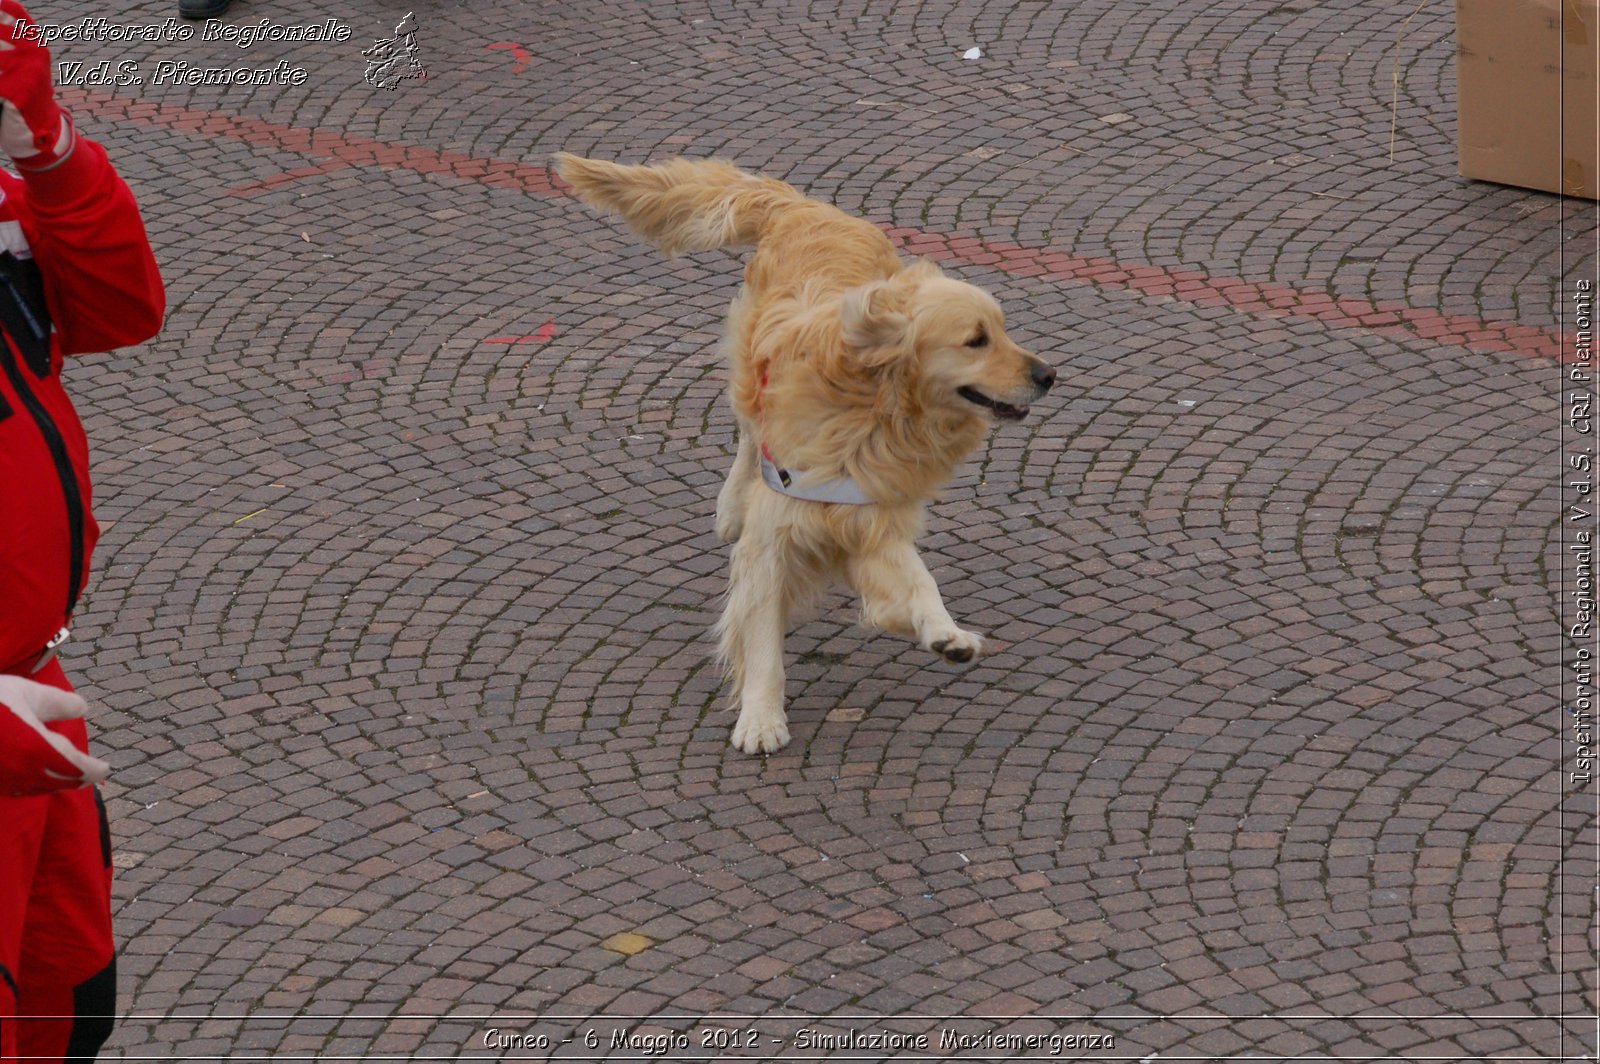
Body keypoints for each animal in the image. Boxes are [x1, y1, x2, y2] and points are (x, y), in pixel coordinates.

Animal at [556, 153, 1056, 752]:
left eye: (1003, 330)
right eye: (976, 340)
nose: (1049, 374)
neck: (872, 411)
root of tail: (806, 206)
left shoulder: (871, 517)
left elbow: (917, 580)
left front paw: (942, 631)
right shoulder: (773, 538)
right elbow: (763, 642)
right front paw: (760, 718)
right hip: (748, 372)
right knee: (748, 434)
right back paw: (730, 506)